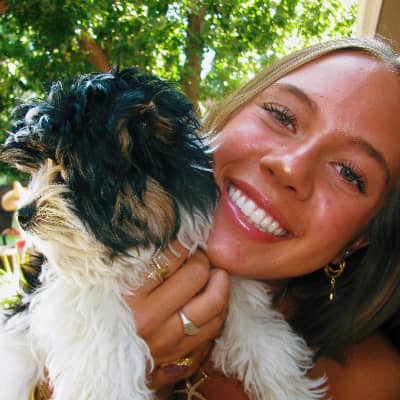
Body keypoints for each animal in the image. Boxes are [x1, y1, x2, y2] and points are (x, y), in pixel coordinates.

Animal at [0, 69, 325, 400]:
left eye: (68, 168)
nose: (23, 214)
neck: (135, 245)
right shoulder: (71, 289)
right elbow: (104, 335)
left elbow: (253, 320)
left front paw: (287, 383)